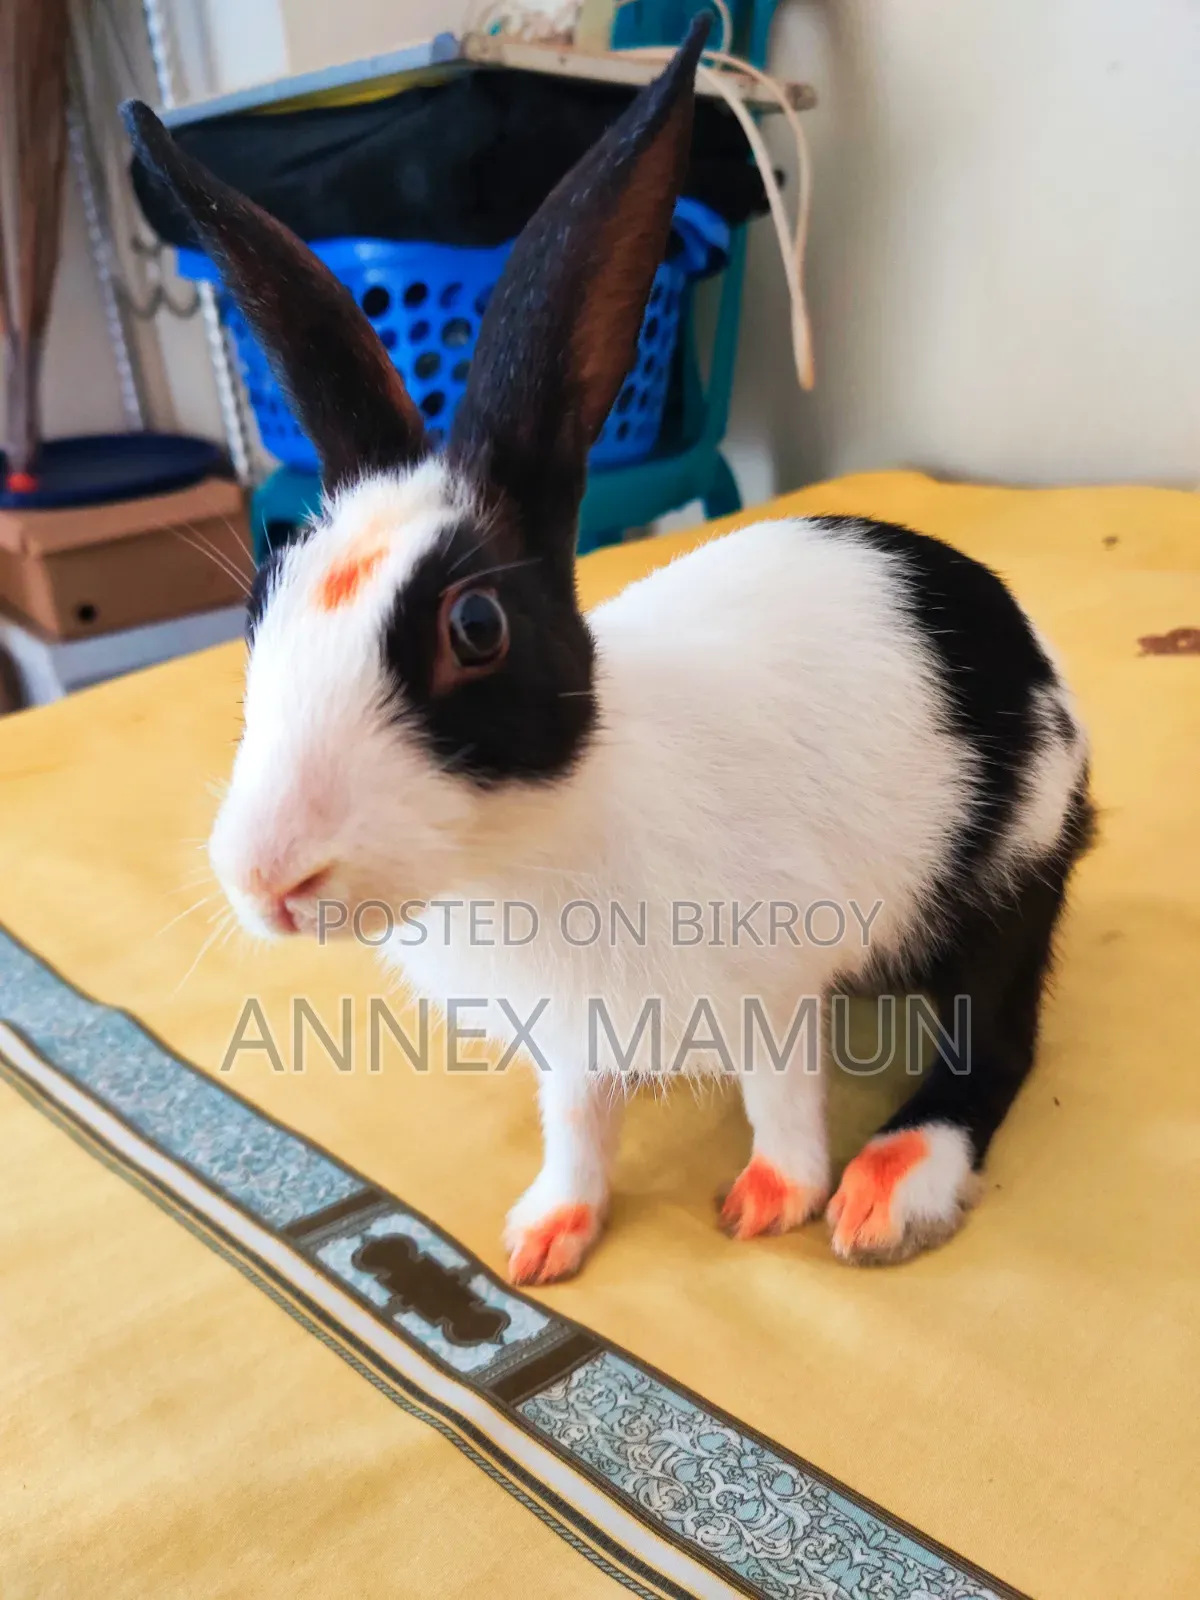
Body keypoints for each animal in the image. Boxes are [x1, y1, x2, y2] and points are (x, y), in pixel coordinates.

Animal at [124, 17, 1092, 1287]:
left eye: (475, 628)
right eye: (263, 600)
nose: (267, 880)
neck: (521, 844)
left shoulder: (770, 983)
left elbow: (783, 1097)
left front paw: (770, 1203)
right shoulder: (571, 1044)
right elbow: (577, 1127)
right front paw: (543, 1238)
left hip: (1006, 870)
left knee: (1001, 1032)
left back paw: (891, 1186)